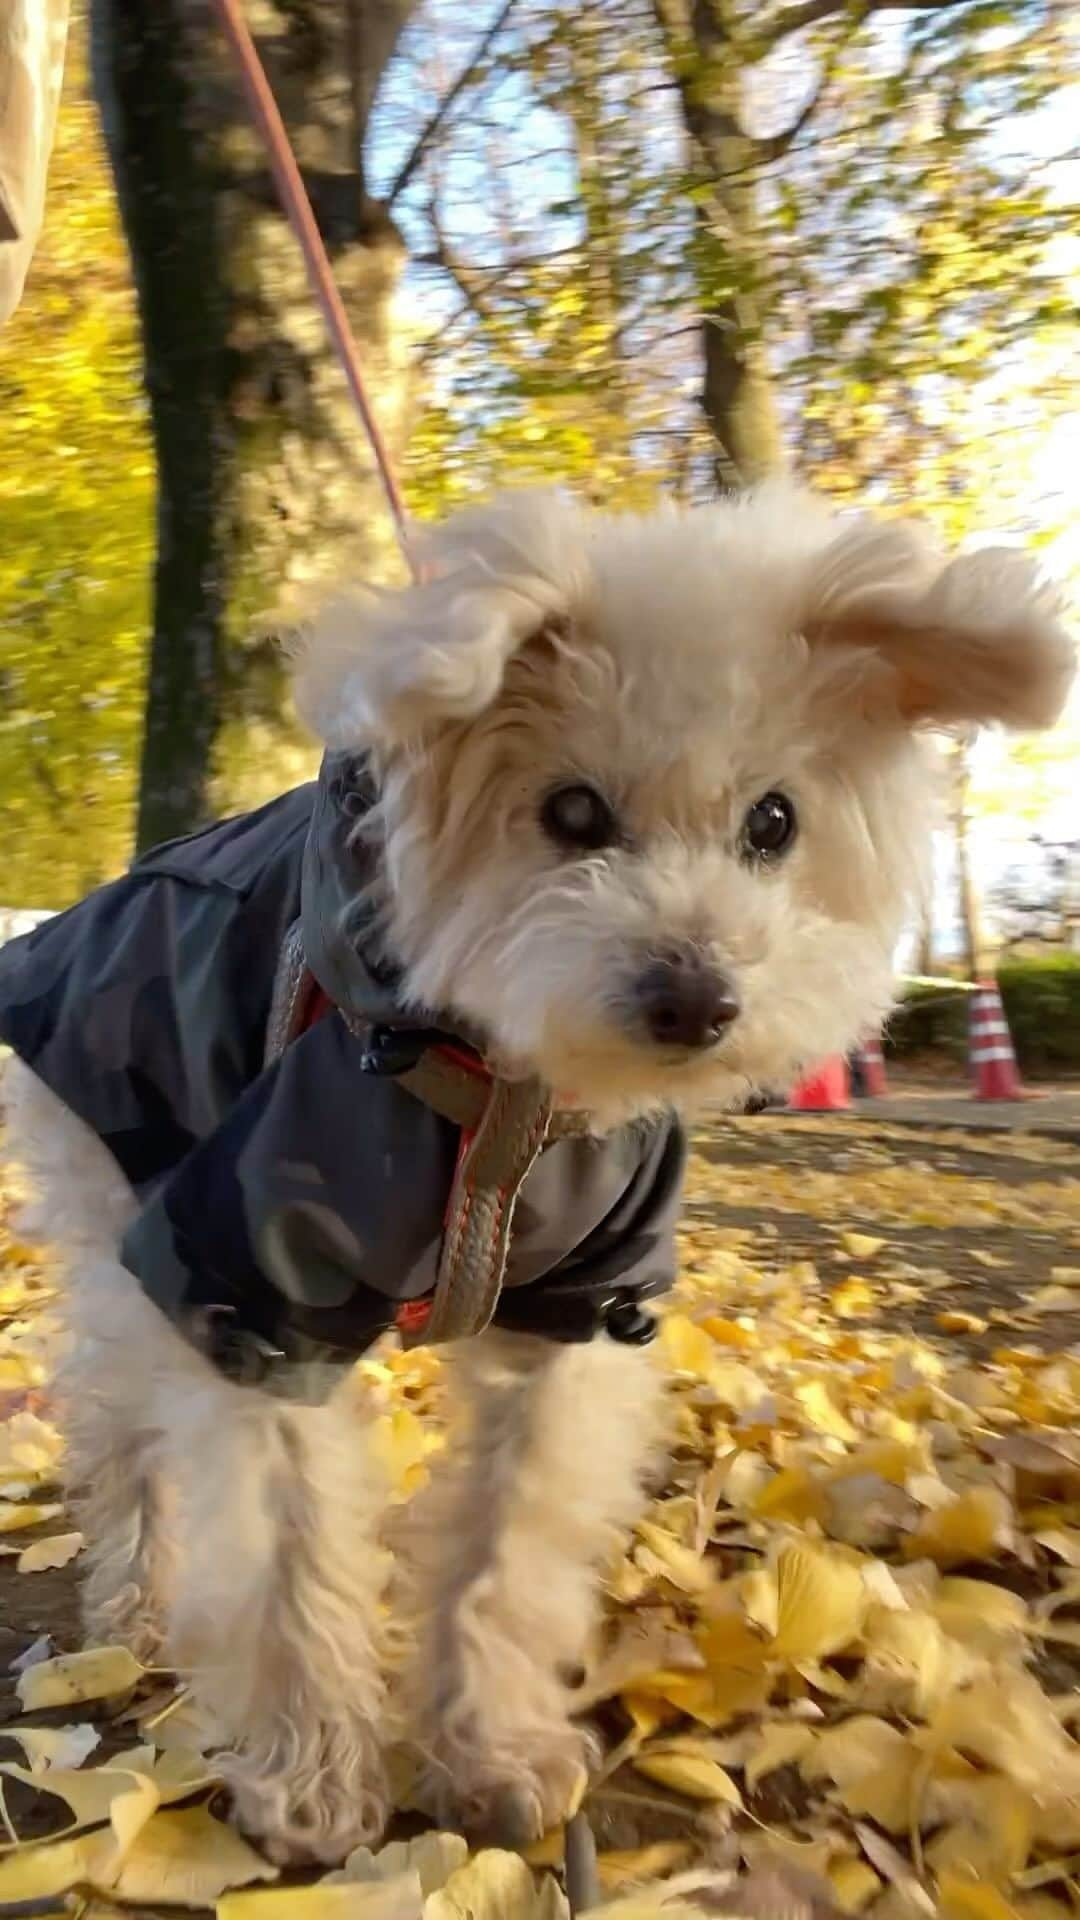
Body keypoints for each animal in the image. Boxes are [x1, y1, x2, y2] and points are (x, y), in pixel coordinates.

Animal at [0, 476, 1068, 1858]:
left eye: (773, 821)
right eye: (570, 813)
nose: (697, 999)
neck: (510, 1094)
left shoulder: (582, 1306)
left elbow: (507, 1550)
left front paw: (491, 1753)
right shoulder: (252, 1285)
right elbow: (287, 1547)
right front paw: (312, 1784)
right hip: (121, 1206)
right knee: (121, 1423)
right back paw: (135, 1600)